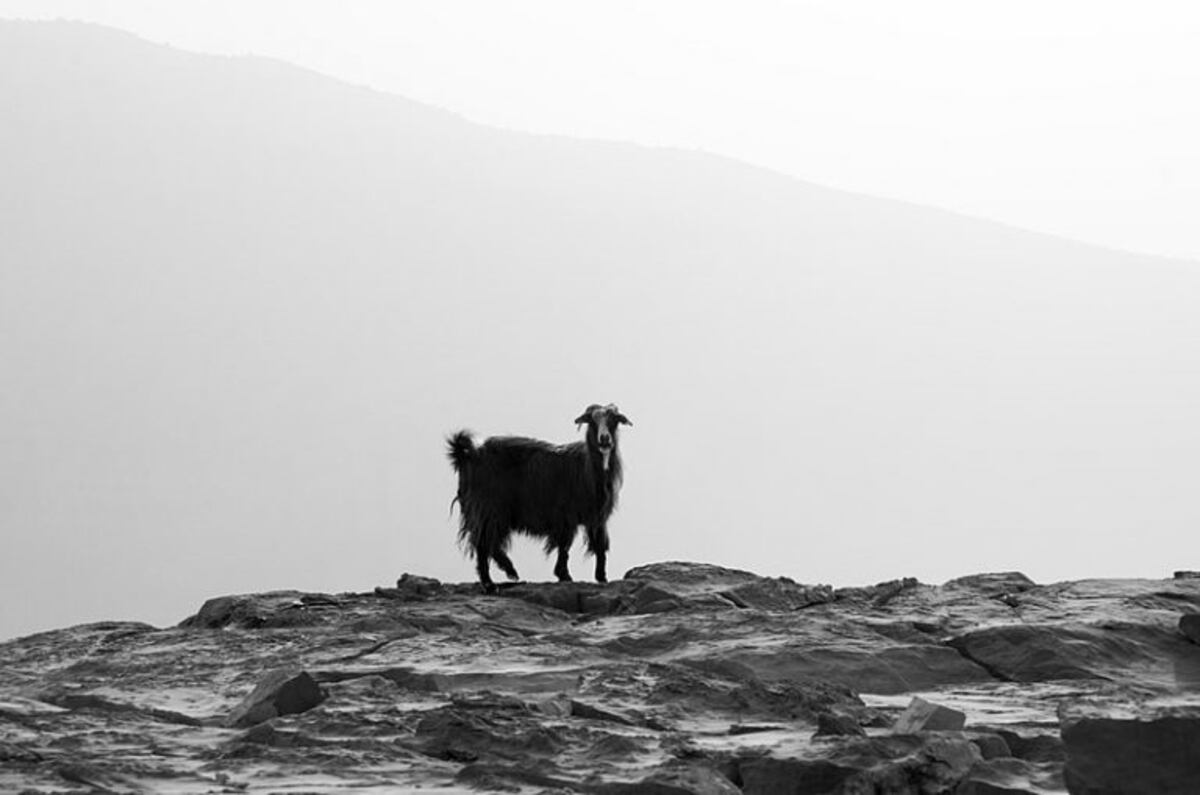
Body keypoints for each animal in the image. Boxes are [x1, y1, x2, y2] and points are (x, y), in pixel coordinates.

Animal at [447, 404, 631, 591]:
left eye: (614, 420)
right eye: (592, 421)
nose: (604, 439)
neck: (586, 467)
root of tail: (468, 454)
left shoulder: (596, 516)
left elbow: (599, 545)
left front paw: (601, 577)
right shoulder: (566, 515)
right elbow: (565, 545)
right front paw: (564, 575)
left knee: (490, 543)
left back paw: (510, 571)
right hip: (487, 507)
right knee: (483, 543)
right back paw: (490, 583)